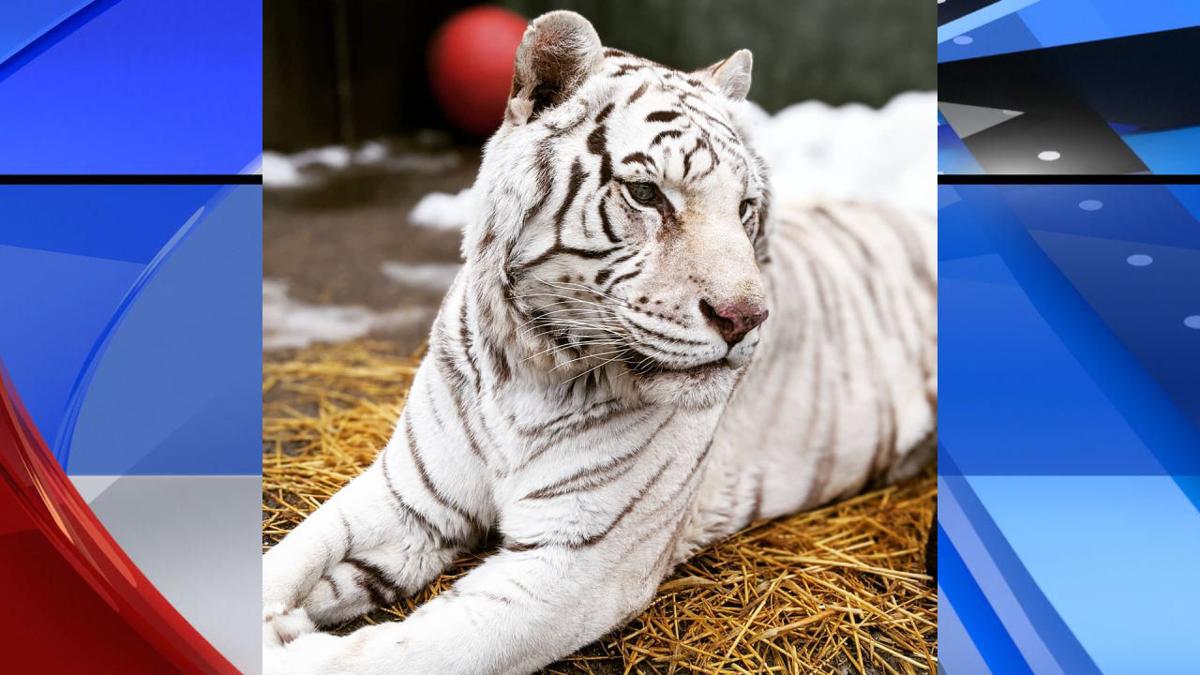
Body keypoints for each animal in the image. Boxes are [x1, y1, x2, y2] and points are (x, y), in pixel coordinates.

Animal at [262, 11, 936, 672]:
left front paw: (291, 644)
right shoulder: (408, 493)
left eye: (745, 206)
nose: (746, 318)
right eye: (646, 194)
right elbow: (300, 547)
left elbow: (402, 651)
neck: (526, 366)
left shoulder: (572, 564)